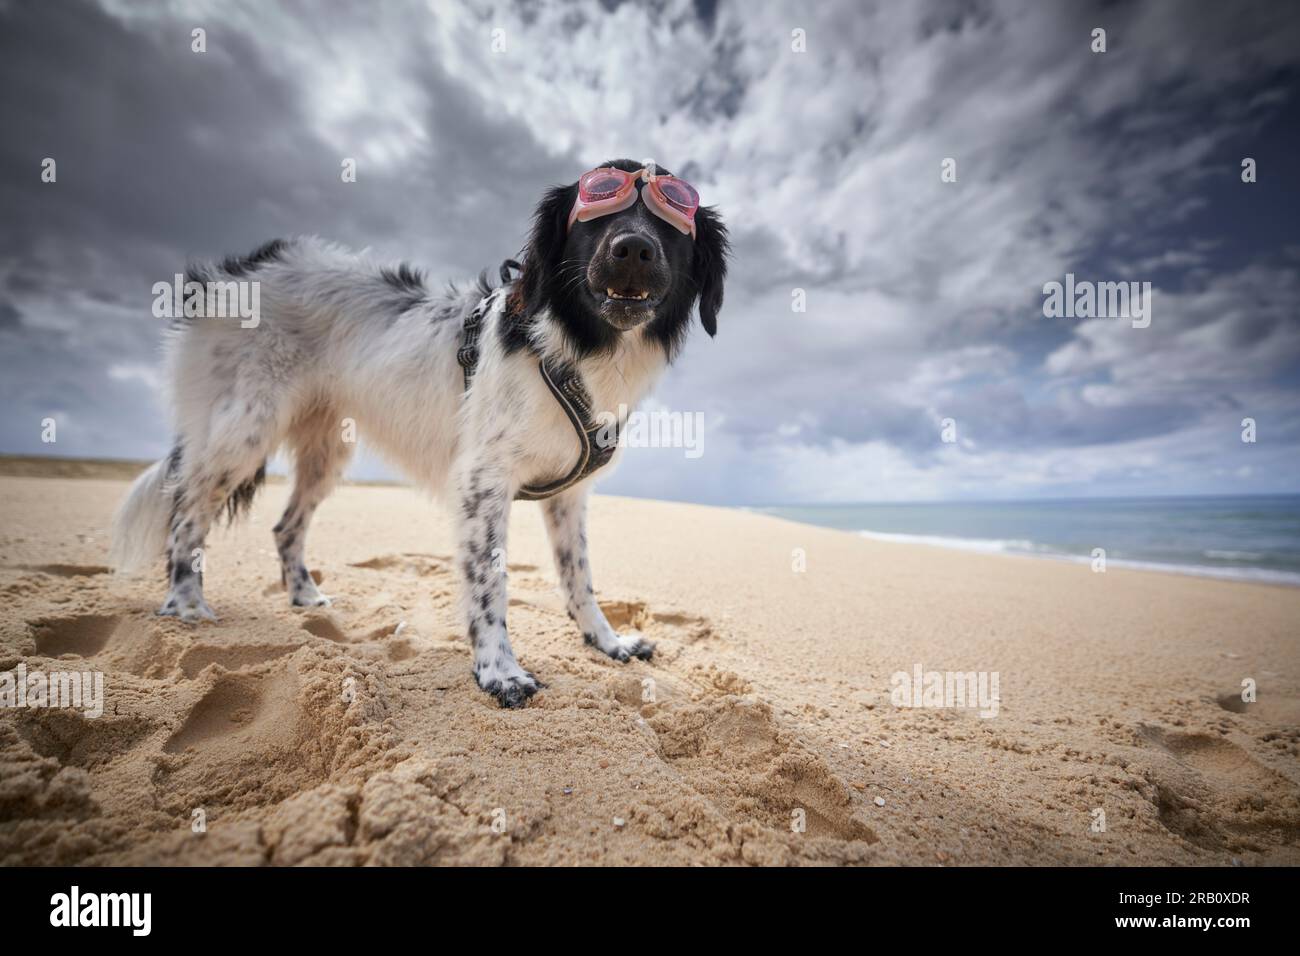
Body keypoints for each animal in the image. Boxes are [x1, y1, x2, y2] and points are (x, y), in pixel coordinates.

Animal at [111, 157, 733, 707]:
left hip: (325, 451)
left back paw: (304, 596)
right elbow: (490, 583)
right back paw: (184, 603)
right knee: (186, 518)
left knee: (285, 526)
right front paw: (499, 672)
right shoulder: (483, 485)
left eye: (671, 225)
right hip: (242, 431)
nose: (633, 249)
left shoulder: (569, 494)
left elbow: (578, 575)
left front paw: (606, 642)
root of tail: (228, 276)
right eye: (595, 213)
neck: (576, 344)